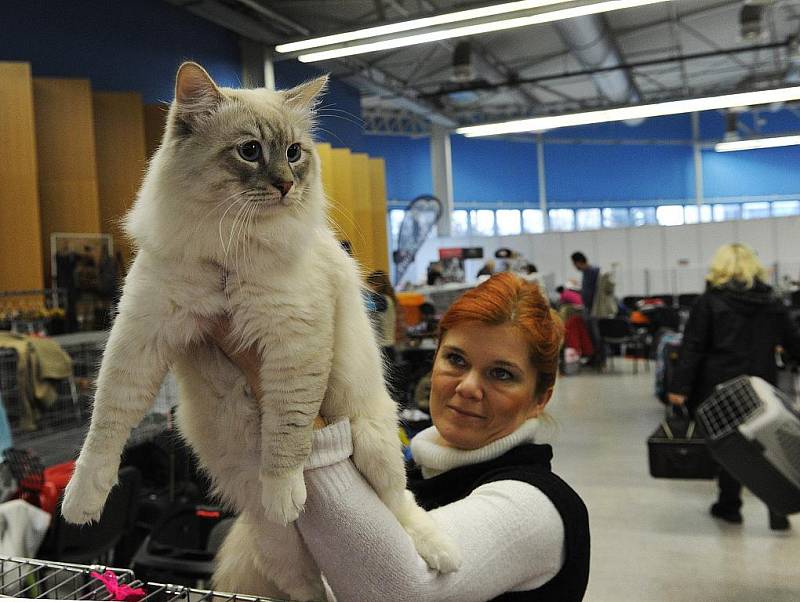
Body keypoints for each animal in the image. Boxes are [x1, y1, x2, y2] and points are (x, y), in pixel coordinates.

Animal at [63, 63, 460, 596]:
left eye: (294, 153)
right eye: (249, 151)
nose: (286, 185)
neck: (229, 252)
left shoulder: (294, 345)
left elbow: (287, 435)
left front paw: (285, 492)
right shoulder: (143, 336)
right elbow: (106, 425)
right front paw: (82, 503)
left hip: (374, 445)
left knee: (402, 508)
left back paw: (437, 552)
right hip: (280, 549)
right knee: (311, 587)